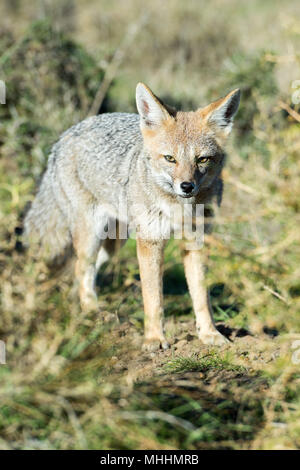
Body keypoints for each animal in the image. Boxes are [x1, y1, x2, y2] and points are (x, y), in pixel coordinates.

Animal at [24, 82, 241, 350]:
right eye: (170, 158)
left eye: (202, 159)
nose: (186, 186)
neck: (179, 208)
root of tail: (67, 134)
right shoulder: (150, 241)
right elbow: (153, 298)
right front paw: (154, 339)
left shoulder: (197, 243)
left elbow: (201, 296)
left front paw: (210, 333)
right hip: (92, 235)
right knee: (81, 267)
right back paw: (92, 314)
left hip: (113, 243)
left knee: (82, 269)